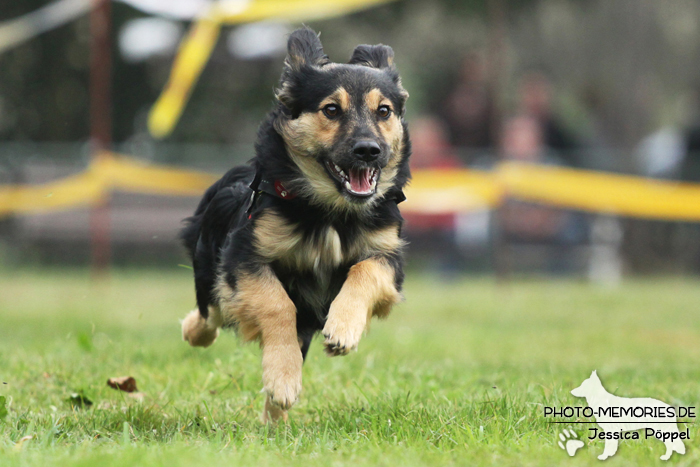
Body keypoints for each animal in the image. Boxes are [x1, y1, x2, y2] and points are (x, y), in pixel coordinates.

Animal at [180, 28, 410, 424]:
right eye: (331, 109)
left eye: (384, 111)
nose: (369, 150)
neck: (331, 212)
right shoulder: (245, 254)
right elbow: (277, 304)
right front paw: (283, 378)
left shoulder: (388, 255)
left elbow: (364, 271)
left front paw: (342, 330)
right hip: (212, 266)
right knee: (211, 311)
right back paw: (196, 332)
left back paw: (275, 420)